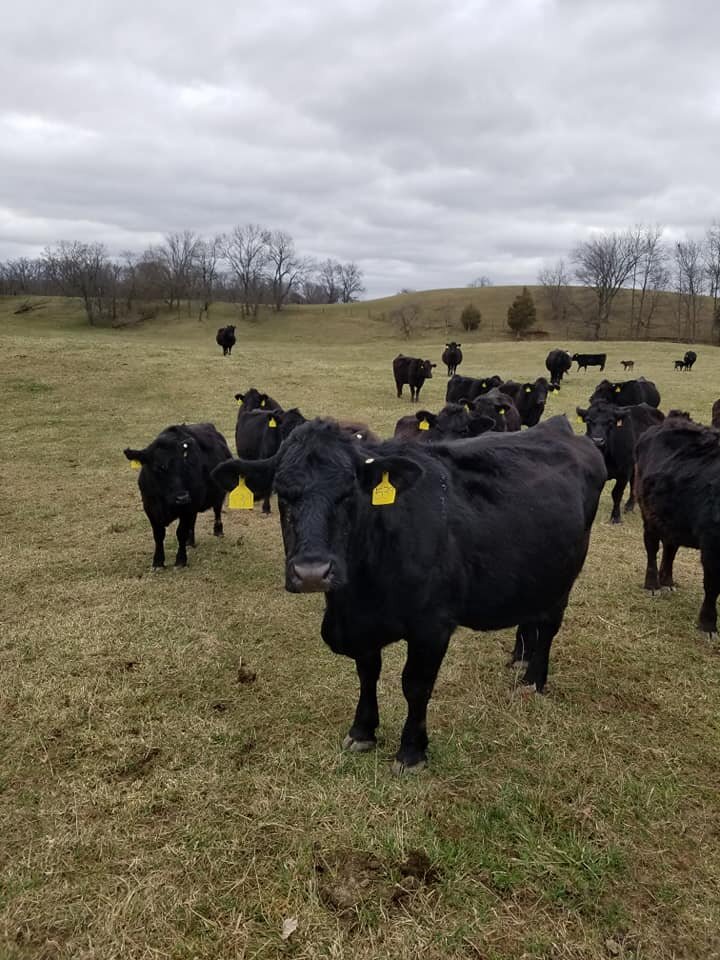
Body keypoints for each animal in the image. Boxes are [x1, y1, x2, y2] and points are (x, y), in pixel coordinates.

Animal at [123, 423, 231, 568]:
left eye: (184, 466)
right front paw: (158, 562)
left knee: (217, 510)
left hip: (216, 495)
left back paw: (218, 530)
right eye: (158, 467)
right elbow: (158, 535)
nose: (182, 498)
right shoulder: (150, 508)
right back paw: (190, 541)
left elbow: (180, 532)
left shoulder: (187, 508)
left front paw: (180, 560)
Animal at [212, 417, 606, 773]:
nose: (312, 572)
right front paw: (363, 731)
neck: (355, 601)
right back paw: (520, 659)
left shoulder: (432, 627)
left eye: (349, 493)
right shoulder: (363, 629)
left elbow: (415, 685)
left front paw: (411, 751)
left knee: (550, 626)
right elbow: (367, 673)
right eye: (283, 494)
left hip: (566, 574)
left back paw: (533, 681)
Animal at [635, 417, 720, 637]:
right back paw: (653, 584)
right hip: (649, 515)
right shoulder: (712, 546)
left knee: (670, 548)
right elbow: (712, 586)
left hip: (672, 520)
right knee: (652, 548)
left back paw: (667, 581)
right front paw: (708, 624)